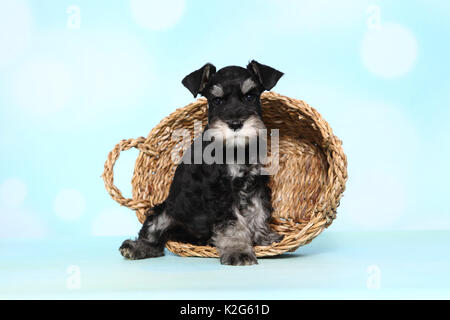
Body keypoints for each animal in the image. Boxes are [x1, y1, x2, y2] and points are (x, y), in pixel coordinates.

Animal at [119, 60, 282, 264]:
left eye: (250, 97)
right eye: (217, 100)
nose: (235, 124)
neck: (236, 150)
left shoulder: (256, 185)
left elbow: (259, 212)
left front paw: (264, 237)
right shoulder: (221, 193)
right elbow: (232, 224)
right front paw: (238, 251)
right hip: (163, 212)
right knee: (152, 236)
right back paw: (136, 247)